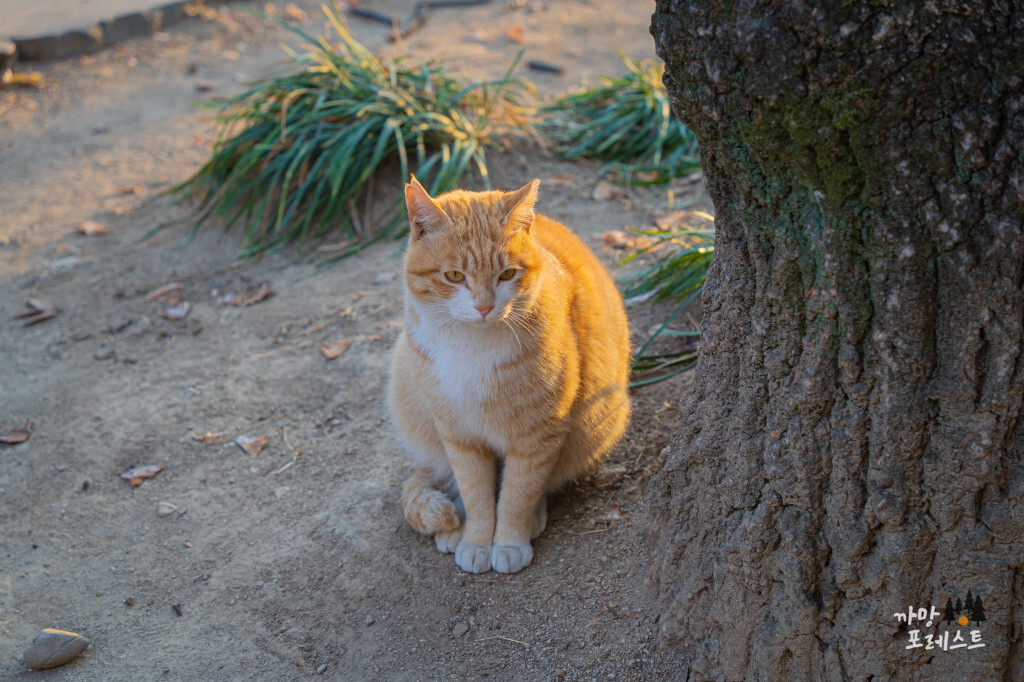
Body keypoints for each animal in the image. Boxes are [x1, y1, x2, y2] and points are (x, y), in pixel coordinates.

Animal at [387, 176, 626, 573]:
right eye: (455, 276)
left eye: (507, 274)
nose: (484, 307)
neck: (472, 347)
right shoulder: (459, 435)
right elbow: (476, 493)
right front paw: (476, 540)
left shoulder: (538, 435)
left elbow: (518, 493)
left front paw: (509, 541)